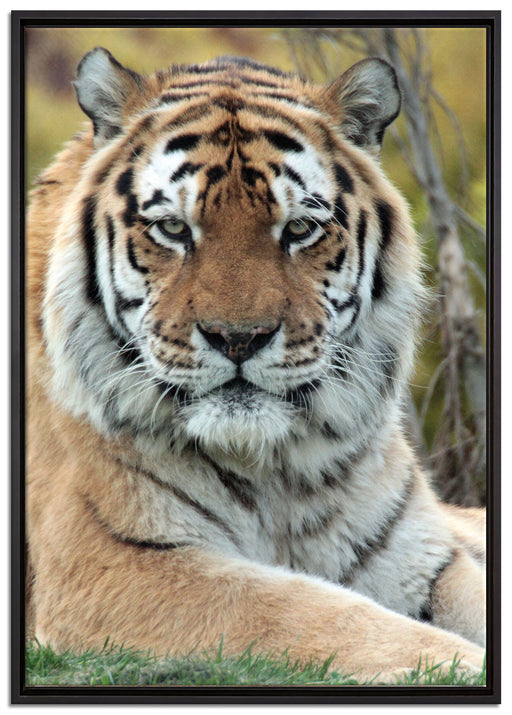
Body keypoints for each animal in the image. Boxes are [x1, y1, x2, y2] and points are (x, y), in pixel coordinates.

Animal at [26, 47, 486, 683]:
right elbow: (310, 611)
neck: (278, 470)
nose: (239, 338)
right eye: (173, 228)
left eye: (299, 229)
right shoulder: (110, 563)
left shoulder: (423, 554)